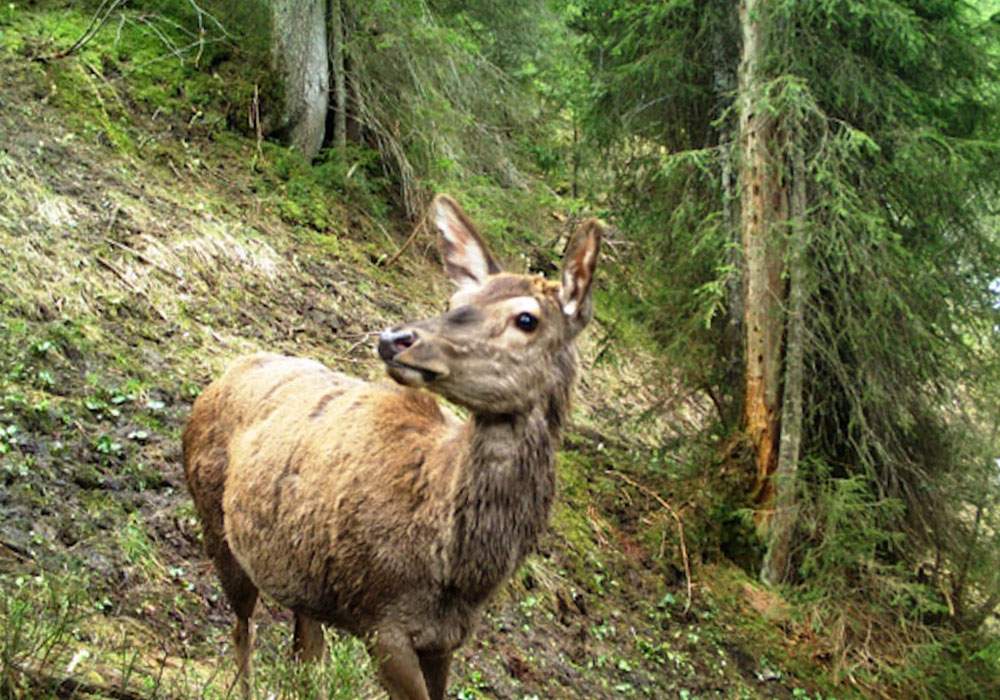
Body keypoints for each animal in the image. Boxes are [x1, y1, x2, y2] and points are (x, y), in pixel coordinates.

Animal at [182, 193, 600, 700]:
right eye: (455, 300)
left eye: (527, 319)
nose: (394, 339)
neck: (458, 572)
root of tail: (224, 374)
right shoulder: (381, 621)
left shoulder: (446, 639)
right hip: (216, 528)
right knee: (244, 628)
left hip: (300, 571)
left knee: (305, 649)